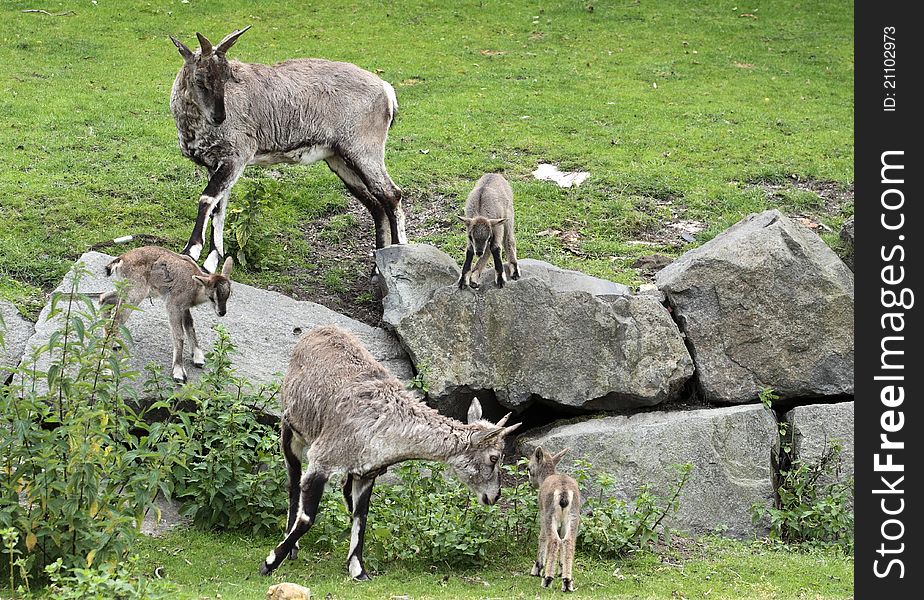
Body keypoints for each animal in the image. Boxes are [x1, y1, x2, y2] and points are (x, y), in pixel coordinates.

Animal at [97, 246, 233, 382]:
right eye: (211, 297)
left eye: (228, 294)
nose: (222, 312)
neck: (194, 288)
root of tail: (120, 260)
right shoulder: (173, 305)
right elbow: (179, 334)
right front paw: (179, 372)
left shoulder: (184, 307)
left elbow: (190, 325)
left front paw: (198, 357)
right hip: (134, 295)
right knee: (114, 323)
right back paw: (106, 369)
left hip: (126, 291)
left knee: (104, 298)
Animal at [532, 446, 580, 592]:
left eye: (529, 468)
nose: (531, 484)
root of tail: (564, 492)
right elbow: (563, 538)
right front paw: (561, 569)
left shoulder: (542, 513)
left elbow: (542, 537)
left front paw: (537, 569)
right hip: (573, 517)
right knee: (568, 541)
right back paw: (567, 582)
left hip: (550, 516)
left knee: (553, 540)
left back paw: (547, 579)